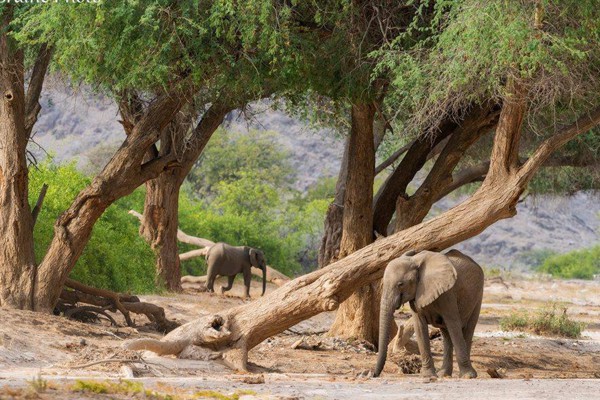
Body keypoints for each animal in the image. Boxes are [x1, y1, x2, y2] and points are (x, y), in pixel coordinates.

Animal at [372, 250, 486, 378]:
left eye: (400, 284)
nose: (374, 375)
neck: (414, 260)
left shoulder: (447, 293)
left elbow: (454, 324)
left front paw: (468, 376)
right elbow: (420, 327)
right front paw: (428, 376)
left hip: (478, 295)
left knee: (467, 329)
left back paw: (467, 374)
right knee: (446, 333)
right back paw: (443, 374)